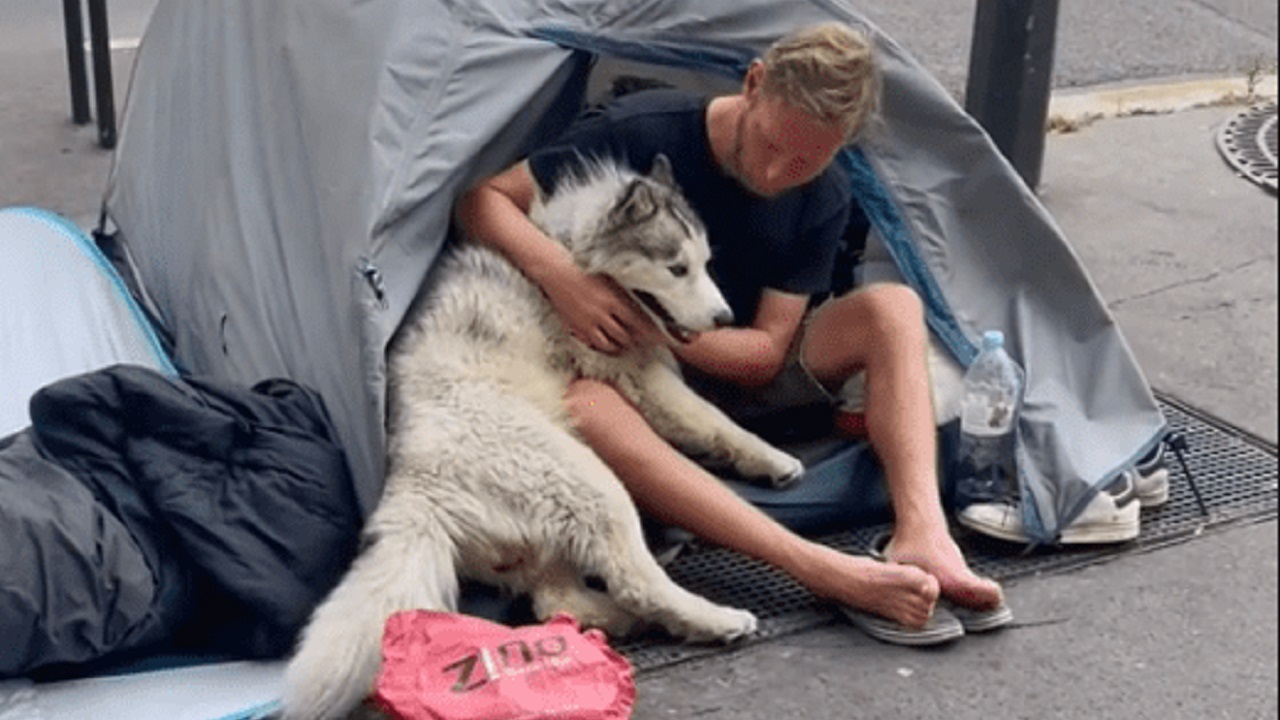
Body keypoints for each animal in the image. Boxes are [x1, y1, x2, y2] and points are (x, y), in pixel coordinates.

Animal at [282, 154, 798, 712]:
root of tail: (415, 485)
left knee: (556, 601)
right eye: (676, 268)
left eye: (704, 263)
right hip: (589, 483)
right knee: (634, 579)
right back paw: (710, 618)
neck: (572, 249)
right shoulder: (635, 372)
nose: (725, 317)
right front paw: (775, 459)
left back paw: (620, 621)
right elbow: (714, 419)